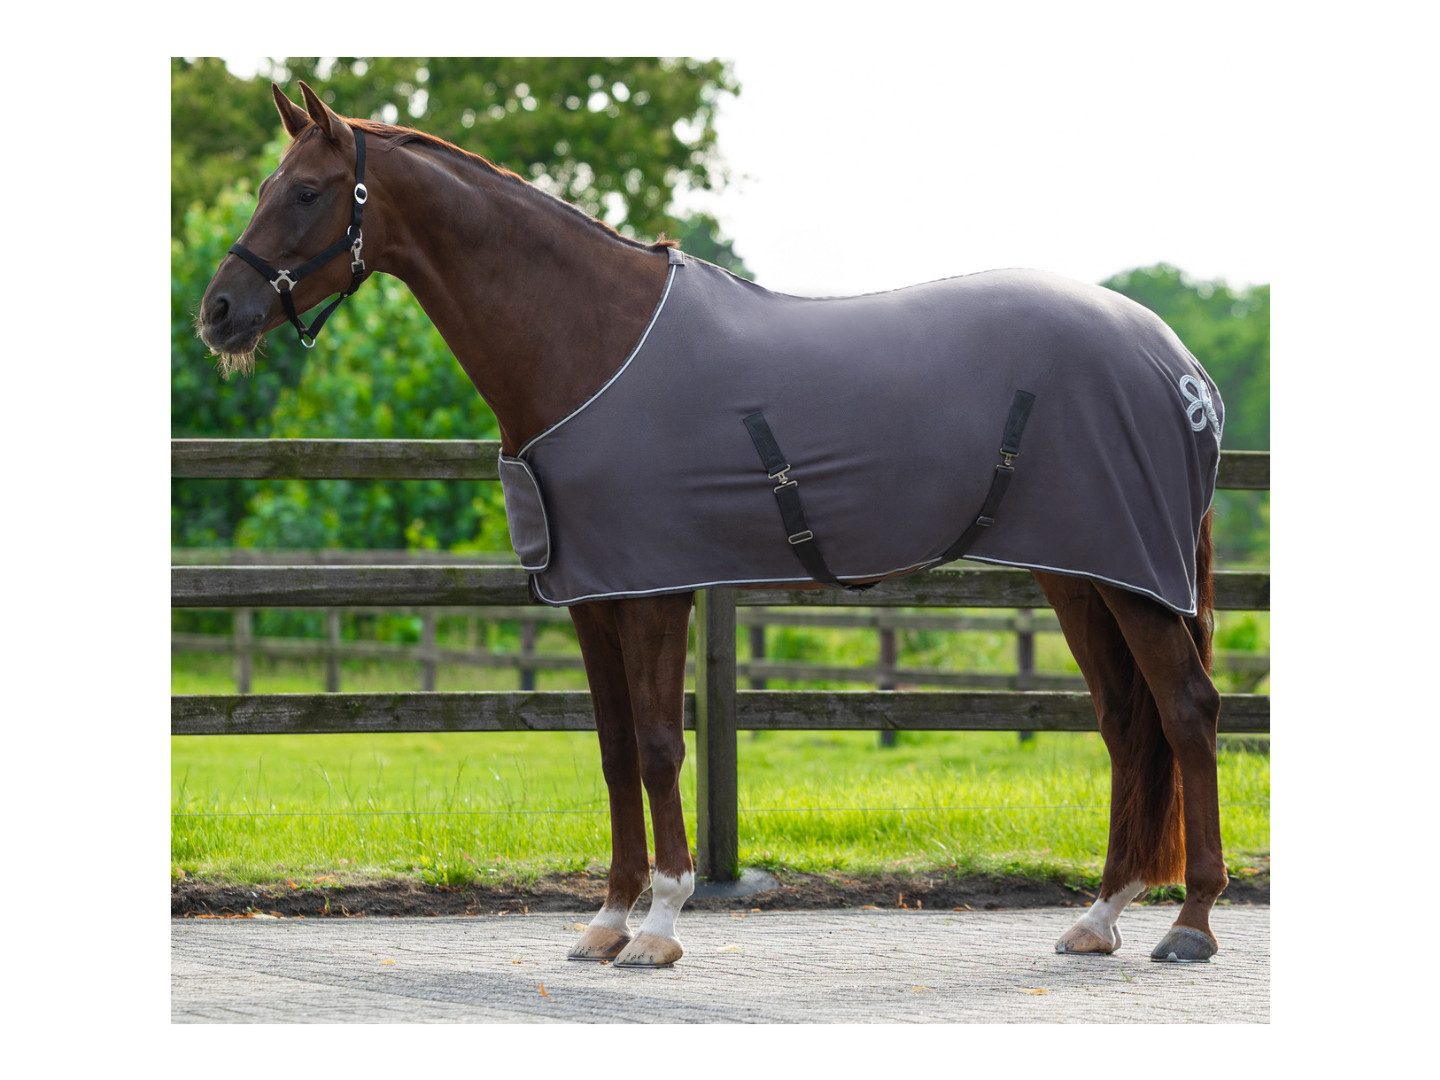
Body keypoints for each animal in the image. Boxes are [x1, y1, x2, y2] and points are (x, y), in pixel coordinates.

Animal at [196, 82, 1229, 968]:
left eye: (308, 192)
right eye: (264, 187)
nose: (218, 314)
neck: (589, 340)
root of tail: (1179, 366)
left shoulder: (655, 588)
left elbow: (660, 746)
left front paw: (659, 925)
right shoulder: (590, 593)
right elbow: (615, 751)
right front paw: (605, 923)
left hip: (1135, 574)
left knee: (1186, 709)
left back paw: (1191, 923)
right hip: (1082, 572)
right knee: (1127, 724)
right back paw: (1099, 917)